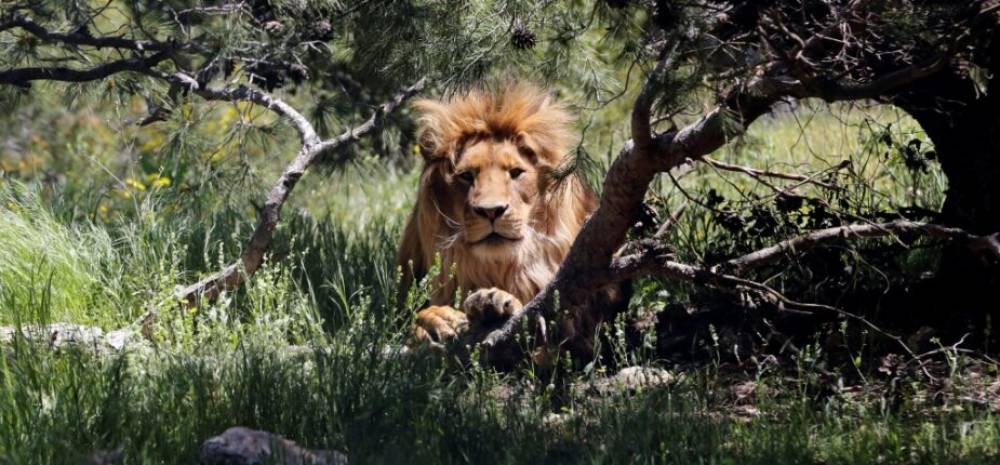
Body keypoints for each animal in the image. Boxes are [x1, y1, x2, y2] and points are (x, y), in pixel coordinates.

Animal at [398, 83, 624, 354]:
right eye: (466, 176)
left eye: (515, 172)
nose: (491, 211)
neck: (500, 268)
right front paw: (437, 320)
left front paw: (493, 302)